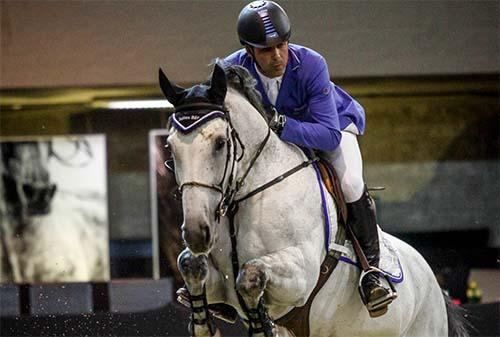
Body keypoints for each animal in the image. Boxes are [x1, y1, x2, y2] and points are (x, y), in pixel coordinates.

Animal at [157, 63, 468, 336]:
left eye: (220, 143)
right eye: (170, 148)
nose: (196, 233)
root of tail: (434, 285)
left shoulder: (300, 278)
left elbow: (251, 274)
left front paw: (260, 325)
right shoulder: (221, 284)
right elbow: (190, 263)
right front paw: (204, 325)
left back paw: (375, 284)